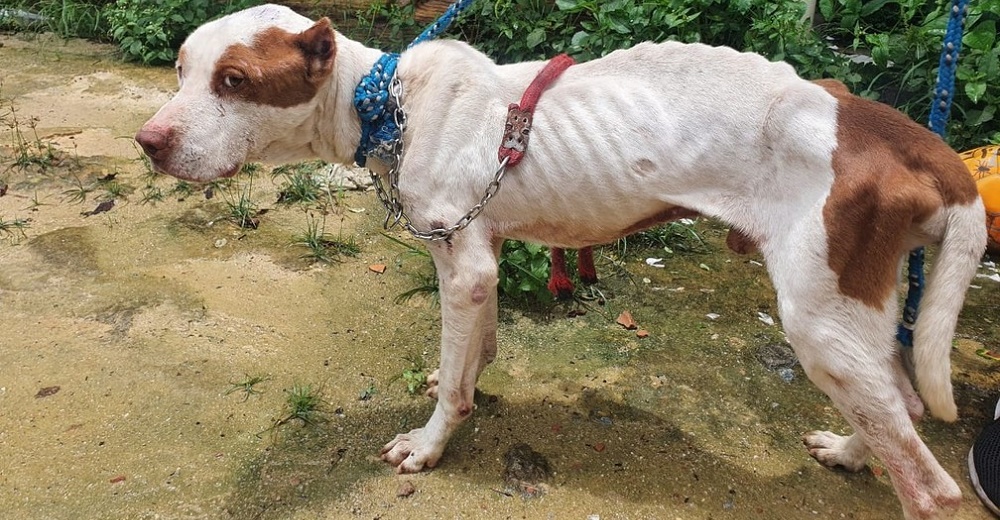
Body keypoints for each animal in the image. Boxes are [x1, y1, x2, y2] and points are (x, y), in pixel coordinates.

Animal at [137, 5, 988, 520]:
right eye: (180, 69)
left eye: (235, 81)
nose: (148, 142)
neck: (386, 103)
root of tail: (901, 132)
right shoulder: (478, 255)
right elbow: (475, 351)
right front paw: (467, 386)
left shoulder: (463, 265)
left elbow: (452, 379)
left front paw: (430, 444)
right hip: (856, 314)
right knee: (898, 408)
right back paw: (849, 450)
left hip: (817, 322)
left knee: (931, 484)